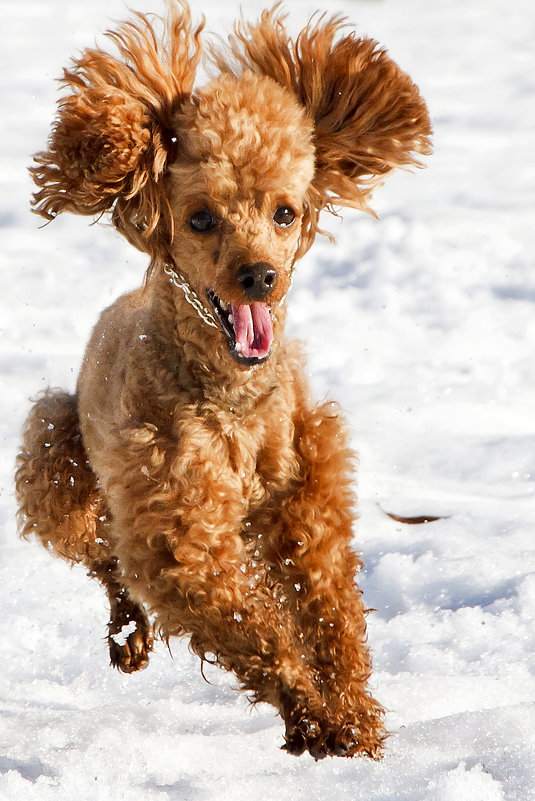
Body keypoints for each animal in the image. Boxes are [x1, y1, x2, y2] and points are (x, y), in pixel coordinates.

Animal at [15, 0, 432, 760]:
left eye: (284, 212)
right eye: (202, 218)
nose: (259, 276)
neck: (227, 395)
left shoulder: (306, 492)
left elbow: (329, 606)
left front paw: (353, 713)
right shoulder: (179, 534)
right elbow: (251, 623)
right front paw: (314, 716)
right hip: (54, 458)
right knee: (106, 559)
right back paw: (127, 633)